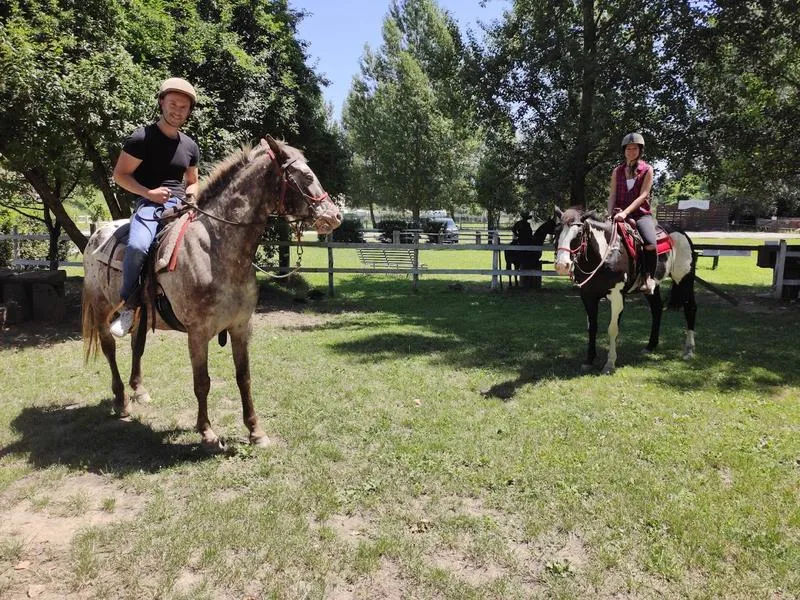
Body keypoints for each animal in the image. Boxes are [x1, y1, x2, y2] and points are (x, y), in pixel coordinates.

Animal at [82, 136, 342, 450]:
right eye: (305, 175)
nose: (334, 216)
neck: (216, 248)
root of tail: (96, 235)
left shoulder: (241, 326)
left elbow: (244, 377)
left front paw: (256, 431)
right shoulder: (198, 332)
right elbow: (202, 381)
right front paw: (206, 432)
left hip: (142, 312)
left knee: (137, 344)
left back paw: (139, 391)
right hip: (101, 307)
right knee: (109, 347)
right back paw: (121, 402)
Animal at [553, 206, 697, 374]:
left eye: (579, 233)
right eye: (556, 232)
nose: (562, 265)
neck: (607, 253)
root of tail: (682, 233)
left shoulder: (617, 297)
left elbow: (613, 329)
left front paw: (610, 363)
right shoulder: (588, 296)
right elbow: (592, 327)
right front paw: (589, 360)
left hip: (684, 279)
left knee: (690, 308)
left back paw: (689, 350)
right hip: (653, 288)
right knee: (657, 309)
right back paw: (650, 346)